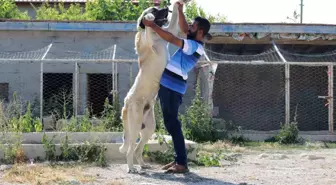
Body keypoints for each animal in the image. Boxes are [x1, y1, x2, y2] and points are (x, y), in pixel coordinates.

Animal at [119, 1, 186, 173]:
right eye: (154, 10)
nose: (166, 8)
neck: (157, 35)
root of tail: (126, 103)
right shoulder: (148, 40)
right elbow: (146, 30)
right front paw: (147, 18)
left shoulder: (170, 32)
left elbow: (174, 21)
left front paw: (177, 5)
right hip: (135, 125)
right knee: (130, 149)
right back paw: (131, 168)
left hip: (148, 128)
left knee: (137, 149)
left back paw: (142, 165)